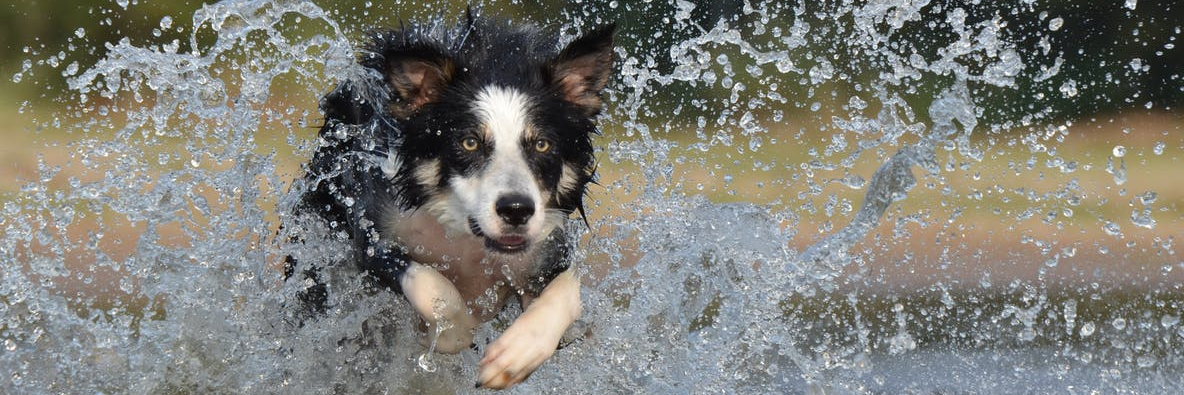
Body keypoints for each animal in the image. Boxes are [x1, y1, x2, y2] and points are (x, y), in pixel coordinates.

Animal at [285, 14, 615, 387]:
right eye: (469, 142)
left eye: (542, 144)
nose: (516, 210)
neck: (466, 238)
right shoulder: (373, 233)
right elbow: (432, 286)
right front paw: (452, 332)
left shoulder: (546, 249)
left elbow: (568, 292)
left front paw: (516, 354)